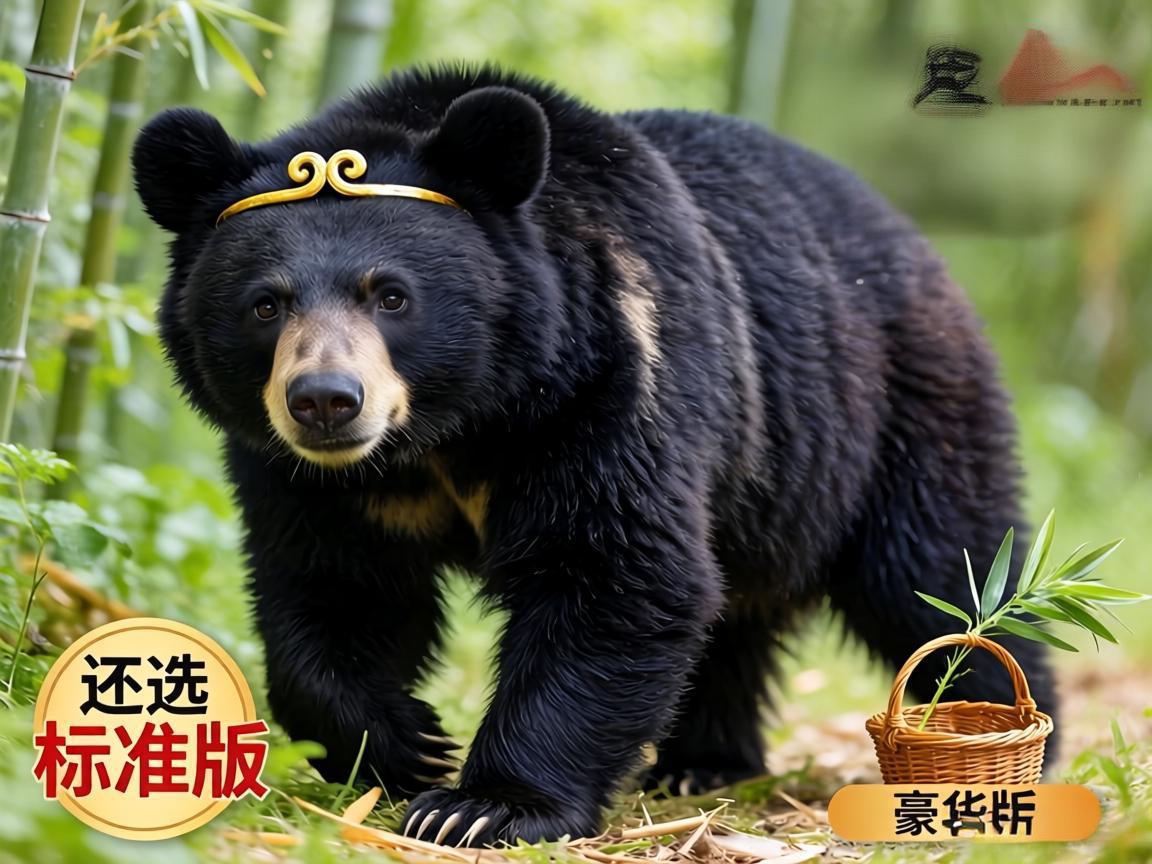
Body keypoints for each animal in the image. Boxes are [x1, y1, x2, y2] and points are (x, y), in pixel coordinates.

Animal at [132, 65, 1057, 847]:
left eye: (391, 295)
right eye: (265, 305)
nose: (326, 400)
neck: (454, 428)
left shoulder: (608, 384)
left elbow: (614, 572)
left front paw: (480, 806)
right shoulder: (313, 477)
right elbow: (332, 586)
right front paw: (404, 743)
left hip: (892, 413)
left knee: (941, 576)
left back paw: (1002, 742)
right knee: (738, 614)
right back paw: (704, 762)